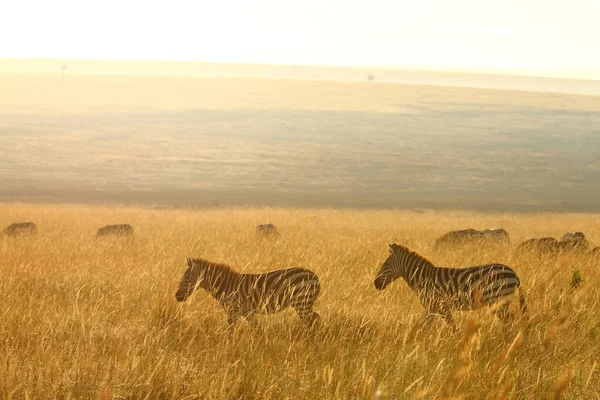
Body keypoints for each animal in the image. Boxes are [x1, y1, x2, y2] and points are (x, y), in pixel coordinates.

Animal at [175, 258, 322, 330]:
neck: (226, 286)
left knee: (312, 321)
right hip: (304, 303)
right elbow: (257, 328)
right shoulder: (247, 312)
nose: (177, 296)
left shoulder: (233, 310)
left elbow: (230, 331)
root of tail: (315, 276)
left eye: (186, 277)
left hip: (301, 302)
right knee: (316, 319)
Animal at [376, 244, 524, 324]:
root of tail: (514, 273)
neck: (423, 278)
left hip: (499, 300)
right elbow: (424, 327)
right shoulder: (431, 308)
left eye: (386, 264)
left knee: (510, 321)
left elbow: (453, 327)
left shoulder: (442, 306)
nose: (375, 283)